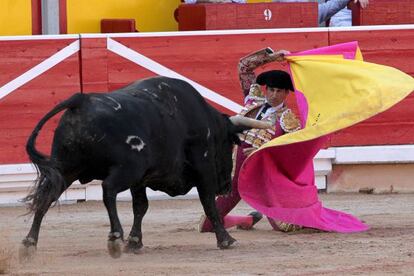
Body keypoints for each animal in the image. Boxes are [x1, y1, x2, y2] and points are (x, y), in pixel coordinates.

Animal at [20, 75, 272, 258]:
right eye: (230, 143)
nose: (226, 186)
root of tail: (81, 100)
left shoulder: (140, 181)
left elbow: (140, 207)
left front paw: (134, 242)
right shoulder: (203, 170)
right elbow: (209, 204)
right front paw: (226, 240)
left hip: (66, 168)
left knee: (45, 197)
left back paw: (29, 244)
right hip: (125, 169)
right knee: (108, 190)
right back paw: (114, 237)